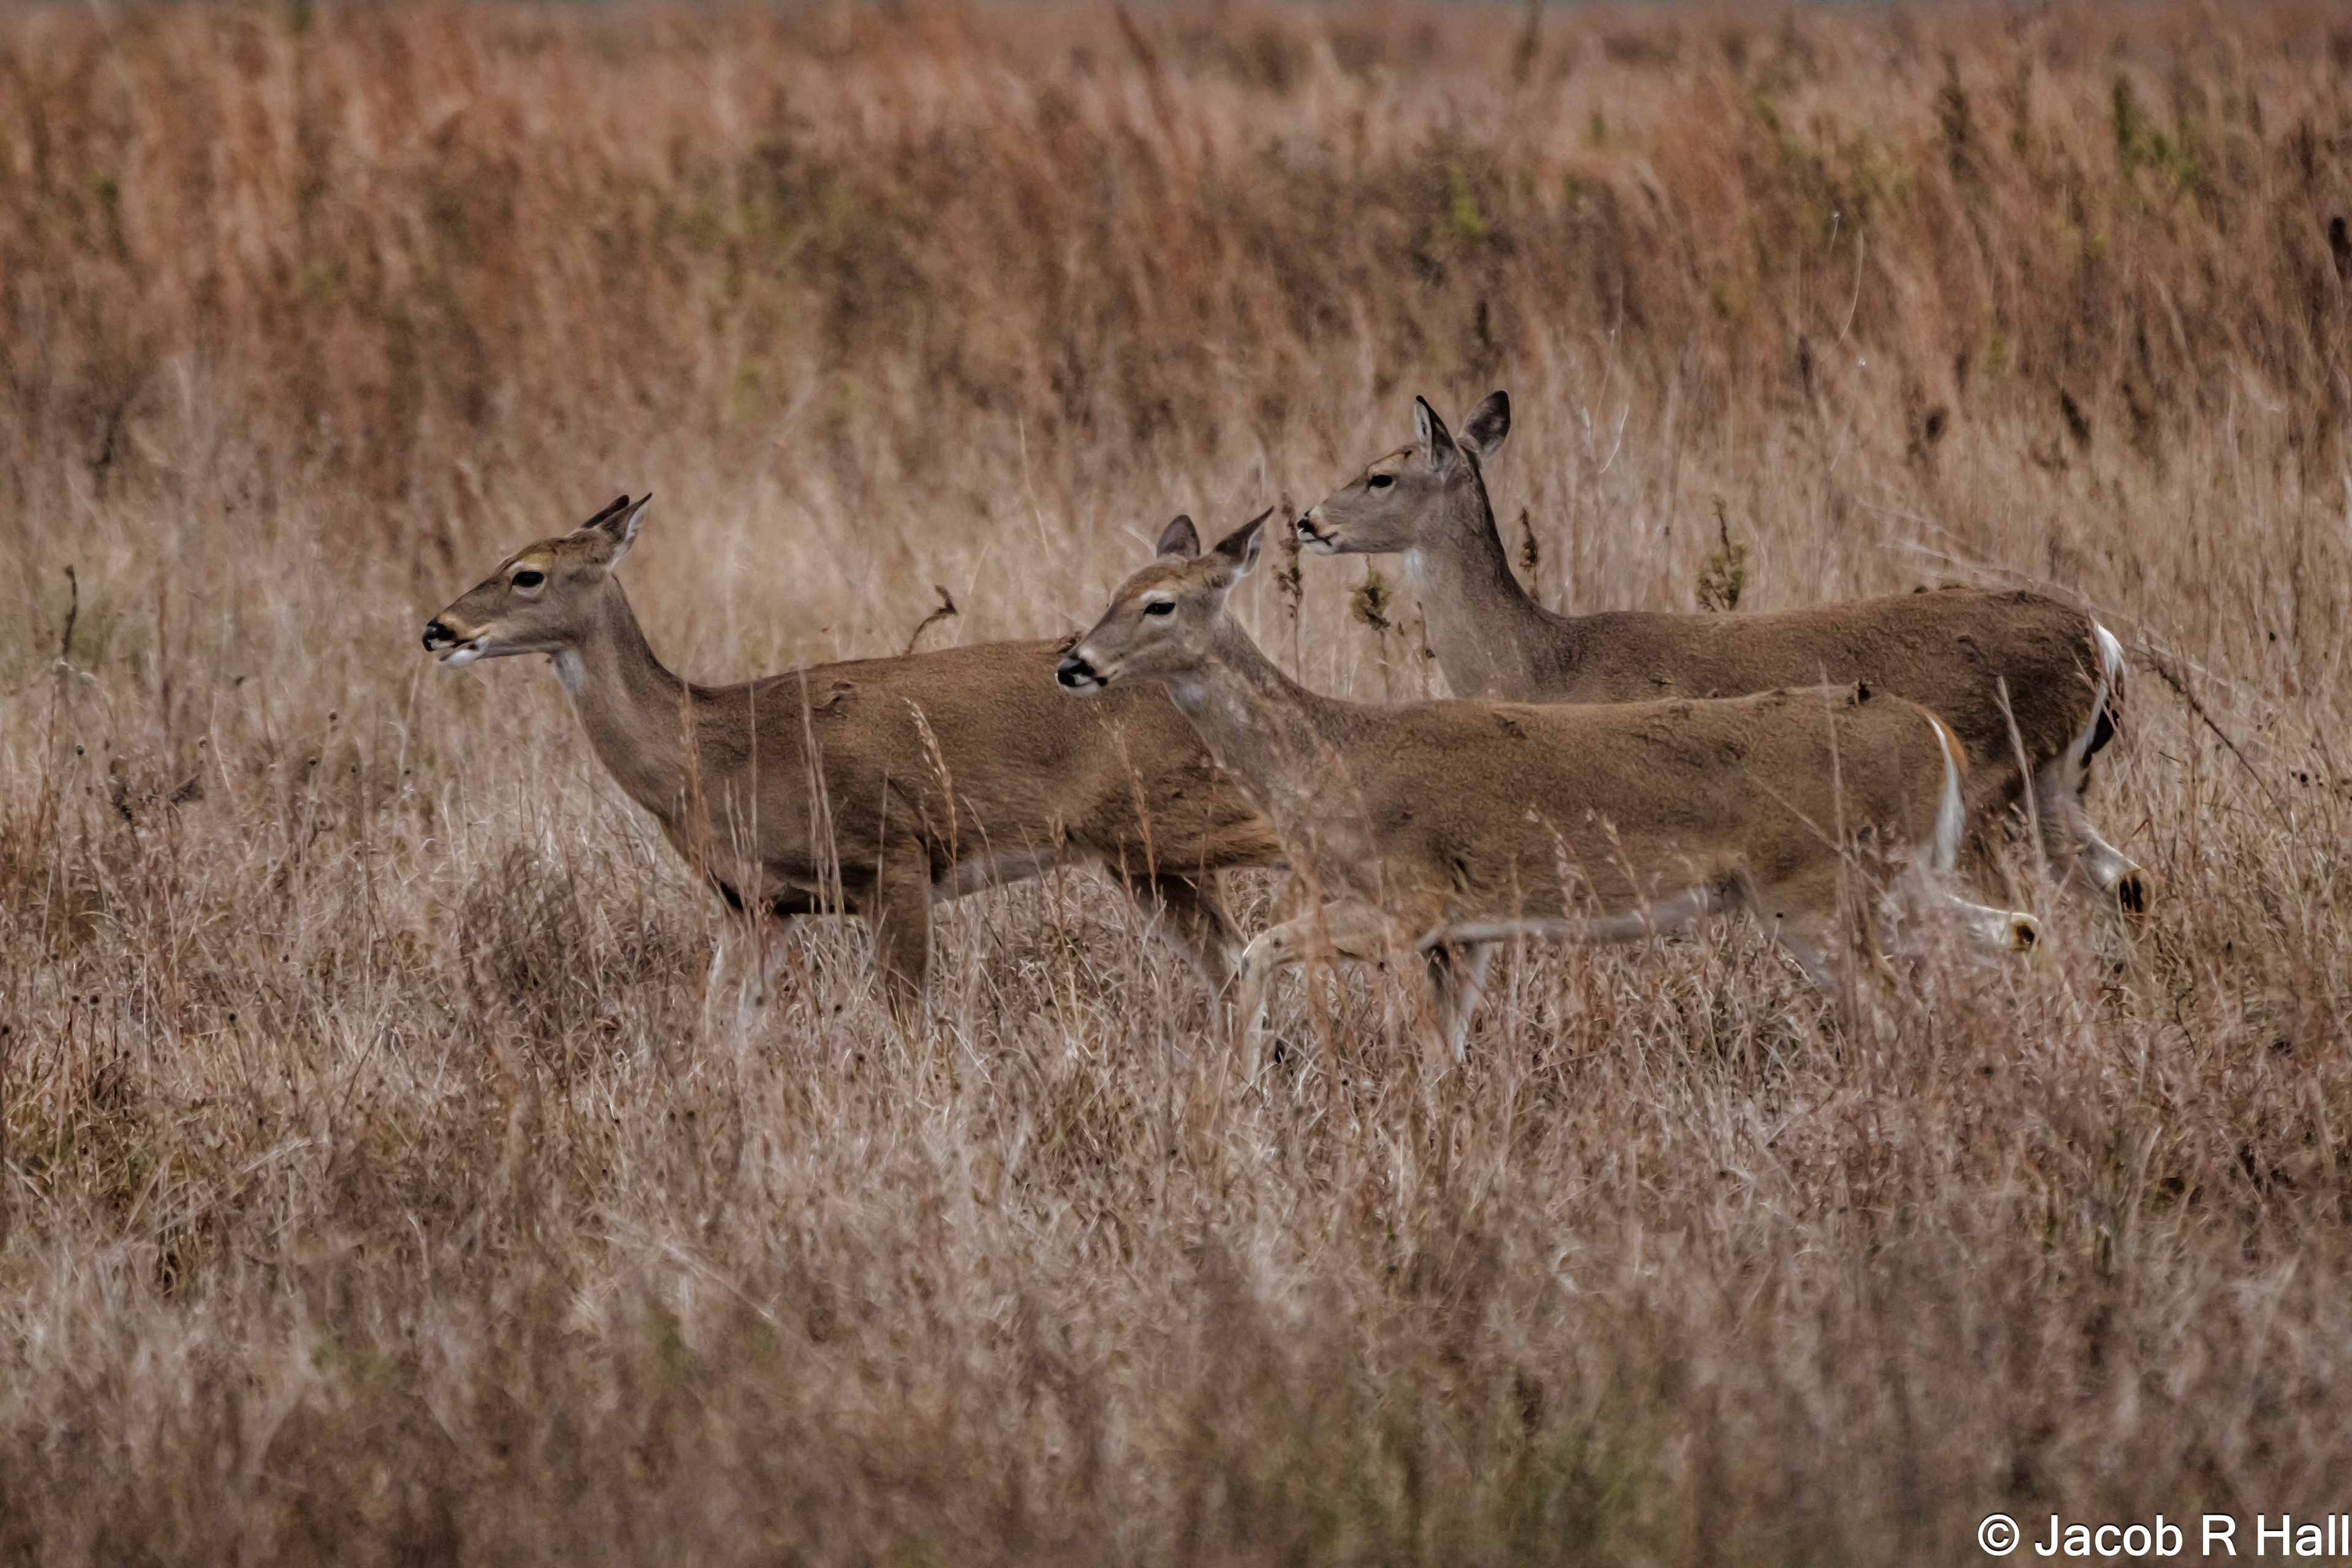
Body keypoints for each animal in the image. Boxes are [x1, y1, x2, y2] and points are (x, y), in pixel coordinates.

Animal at [422, 495, 1281, 1028]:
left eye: (528, 572)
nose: (438, 628)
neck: (711, 751)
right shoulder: (753, 904)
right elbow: (719, 1036)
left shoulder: (891, 857)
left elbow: (908, 1025)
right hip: (1145, 860)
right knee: (1231, 967)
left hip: (1166, 822)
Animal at [1055, 512, 2041, 1067]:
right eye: (1114, 589)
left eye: (1160, 604)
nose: (1074, 664)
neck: (1333, 765)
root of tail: (1934, 737)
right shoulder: (1463, 936)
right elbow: (1439, 1058)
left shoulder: (1409, 901)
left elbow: (1255, 954)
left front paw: (1242, 1086)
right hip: (1897, 878)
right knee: (2011, 933)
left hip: (1818, 889)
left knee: (1902, 1003)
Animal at [1293, 393, 2148, 917]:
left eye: (1381, 475)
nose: (1306, 520)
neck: (1541, 663)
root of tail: (2100, 642)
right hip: (2048, 786)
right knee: (2125, 882)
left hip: (1990, 793)